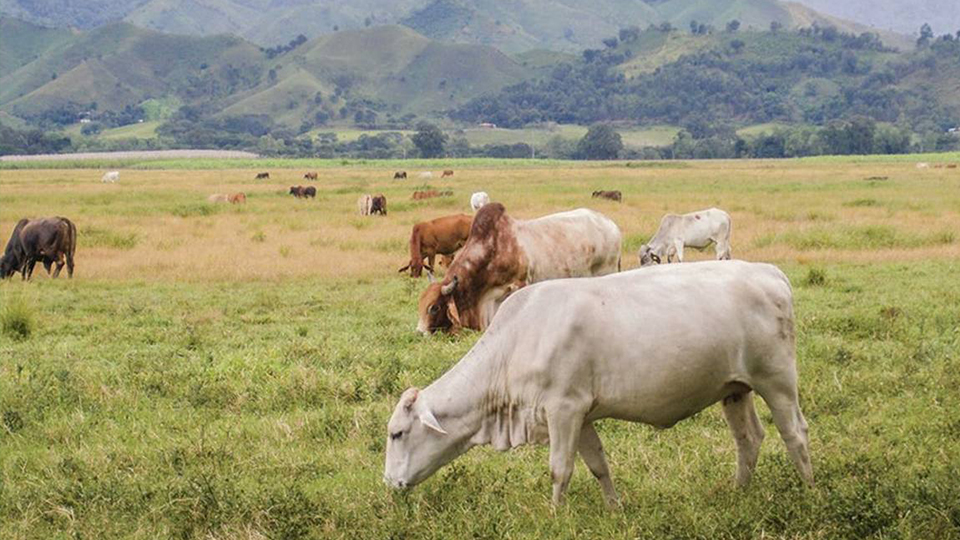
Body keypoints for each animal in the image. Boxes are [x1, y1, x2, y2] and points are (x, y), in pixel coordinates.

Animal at [382, 260, 808, 504]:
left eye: (398, 434)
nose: (389, 483)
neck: (516, 340)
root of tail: (770, 272)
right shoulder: (581, 415)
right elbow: (598, 465)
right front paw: (614, 507)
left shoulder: (563, 410)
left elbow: (560, 469)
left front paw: (555, 513)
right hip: (735, 388)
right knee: (748, 439)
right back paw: (738, 491)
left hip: (777, 380)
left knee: (795, 434)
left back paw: (808, 490)